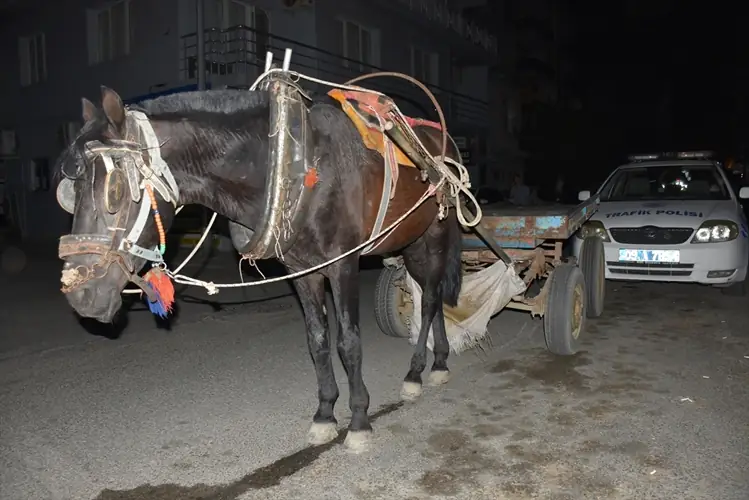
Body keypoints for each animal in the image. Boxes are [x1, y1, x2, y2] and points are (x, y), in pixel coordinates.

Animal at [57, 86, 462, 454]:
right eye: (68, 195)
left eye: (114, 192)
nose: (82, 295)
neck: (294, 164)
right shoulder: (304, 271)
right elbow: (317, 341)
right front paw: (325, 413)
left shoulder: (343, 265)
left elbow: (348, 342)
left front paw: (359, 419)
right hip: (410, 242)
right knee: (431, 295)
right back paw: (438, 360)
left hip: (435, 236)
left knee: (430, 300)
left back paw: (419, 371)